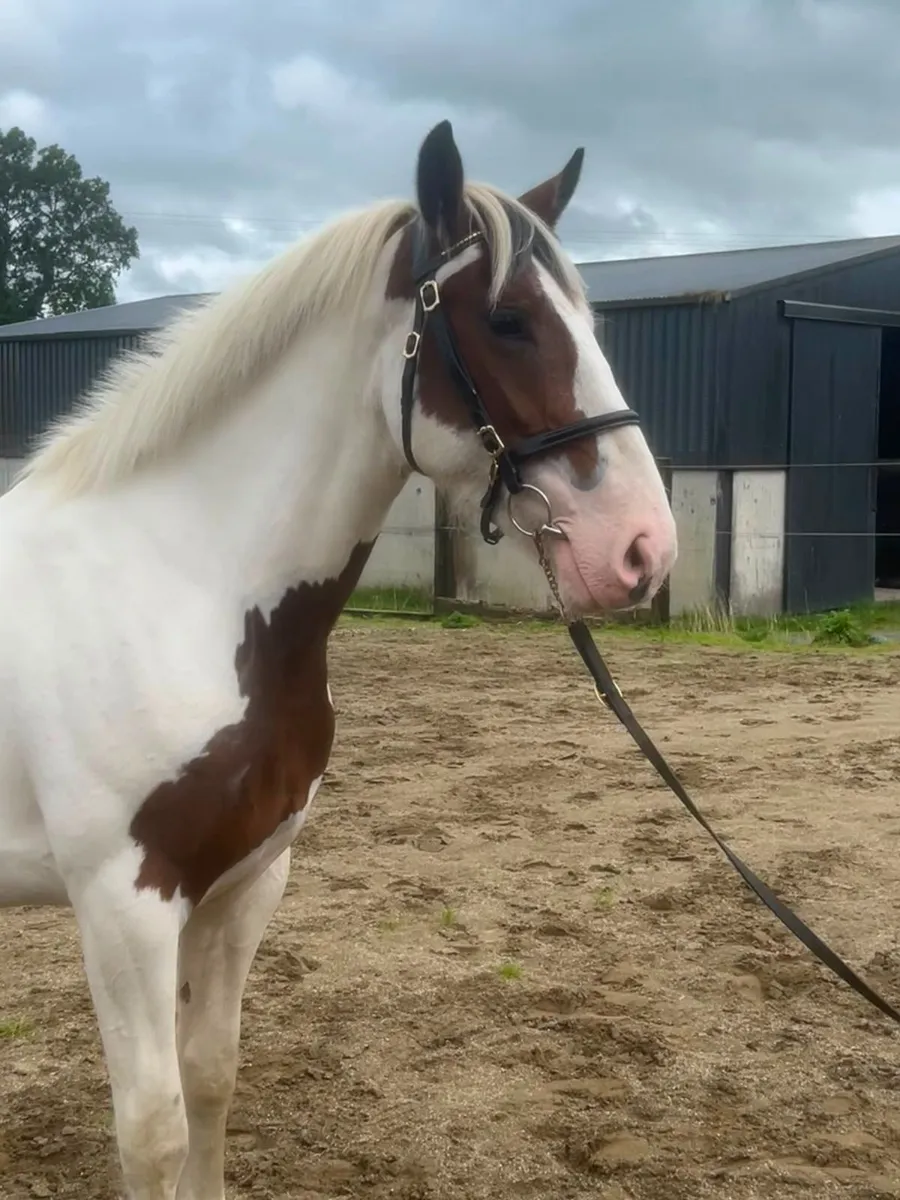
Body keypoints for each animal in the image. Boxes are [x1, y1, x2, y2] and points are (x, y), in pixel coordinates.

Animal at [0, 120, 677, 1199]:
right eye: (510, 320)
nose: (643, 550)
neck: (184, 587)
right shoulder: (123, 903)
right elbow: (151, 1128)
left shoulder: (245, 882)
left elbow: (211, 1073)